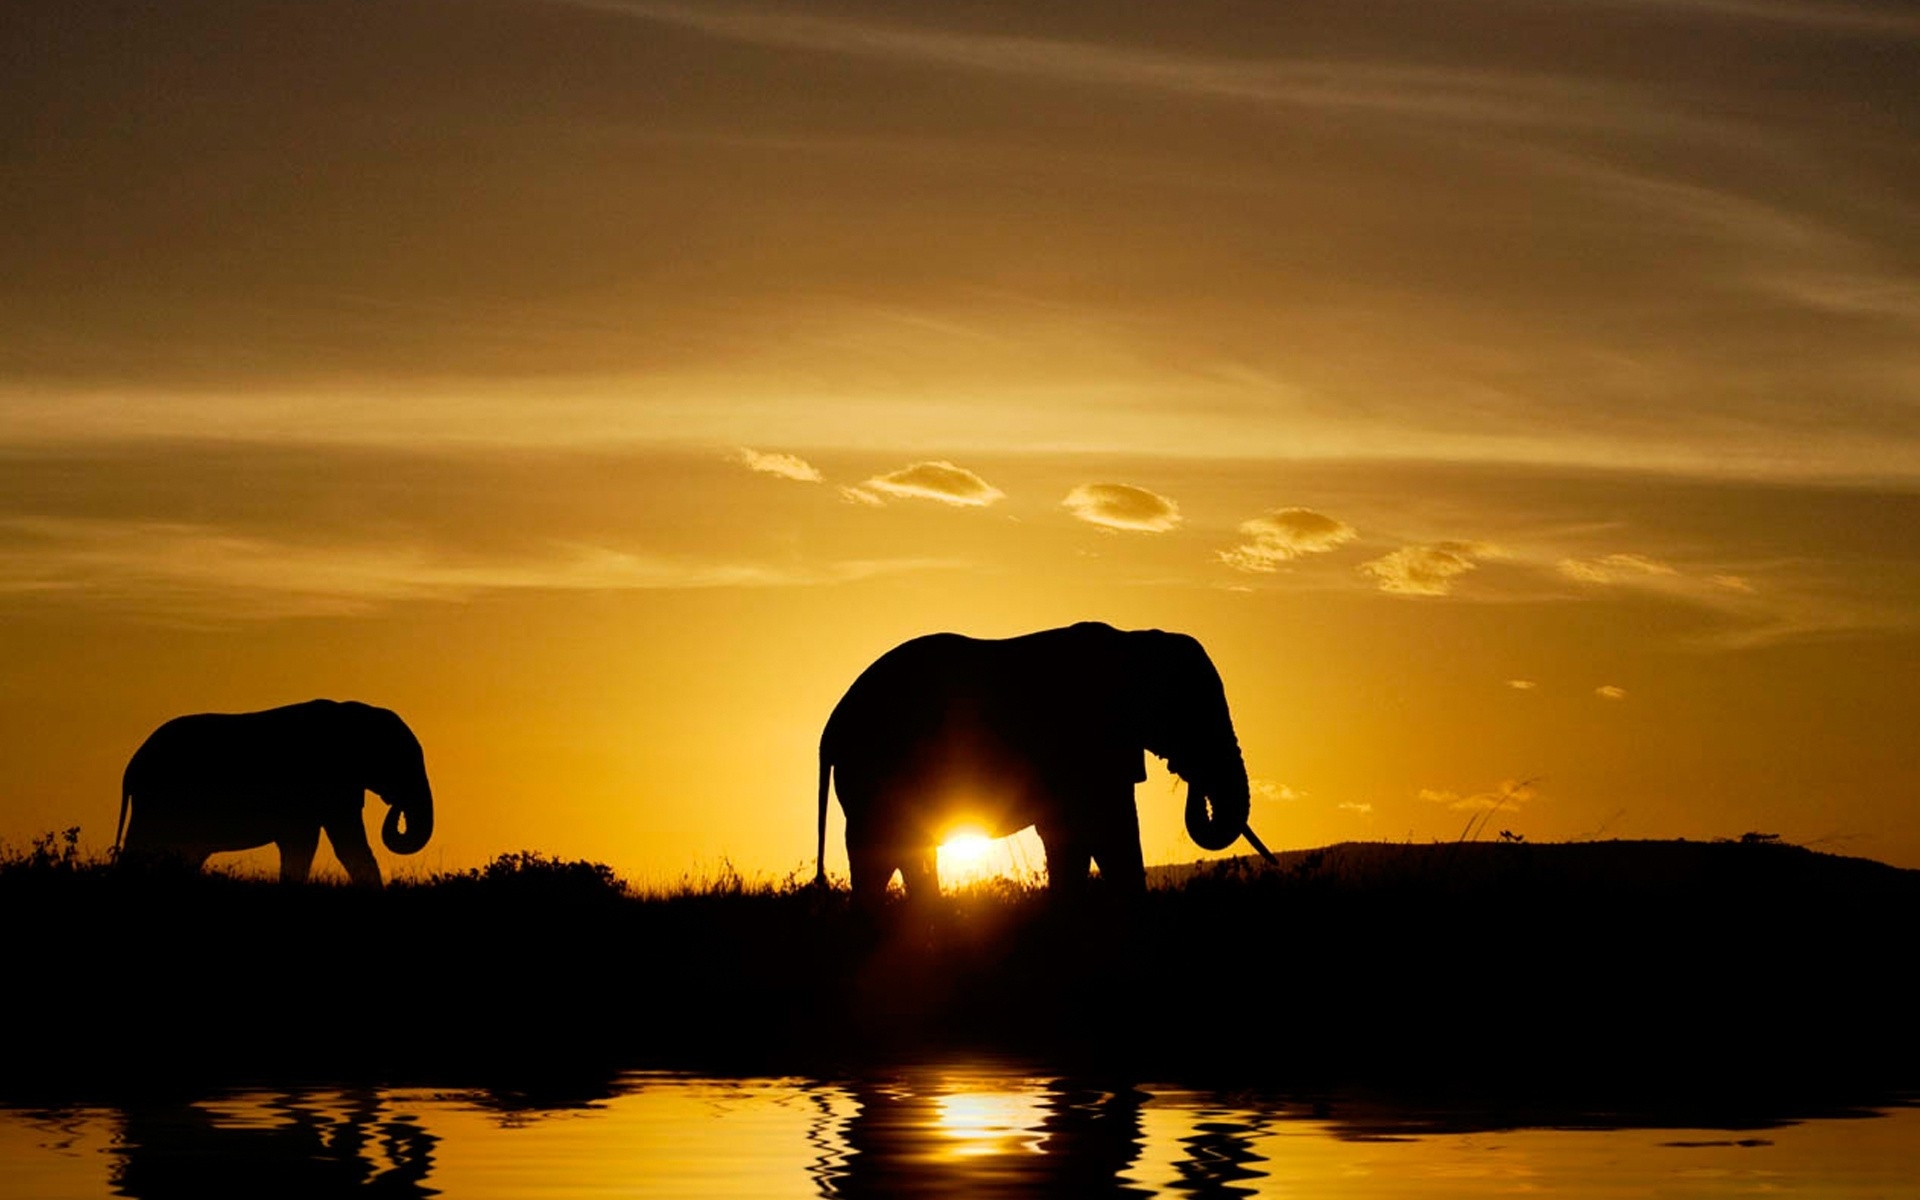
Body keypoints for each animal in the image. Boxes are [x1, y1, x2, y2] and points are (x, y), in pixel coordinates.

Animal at [118, 698, 437, 883]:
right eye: (401, 761)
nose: (396, 805)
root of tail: (131, 767)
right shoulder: (328, 782)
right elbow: (326, 844)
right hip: (159, 800)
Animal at [817, 622, 1267, 902]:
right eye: (1190, 713)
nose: (1187, 774)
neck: (1134, 641)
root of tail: (832, 725)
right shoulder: (1084, 743)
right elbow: (1107, 830)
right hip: (873, 774)